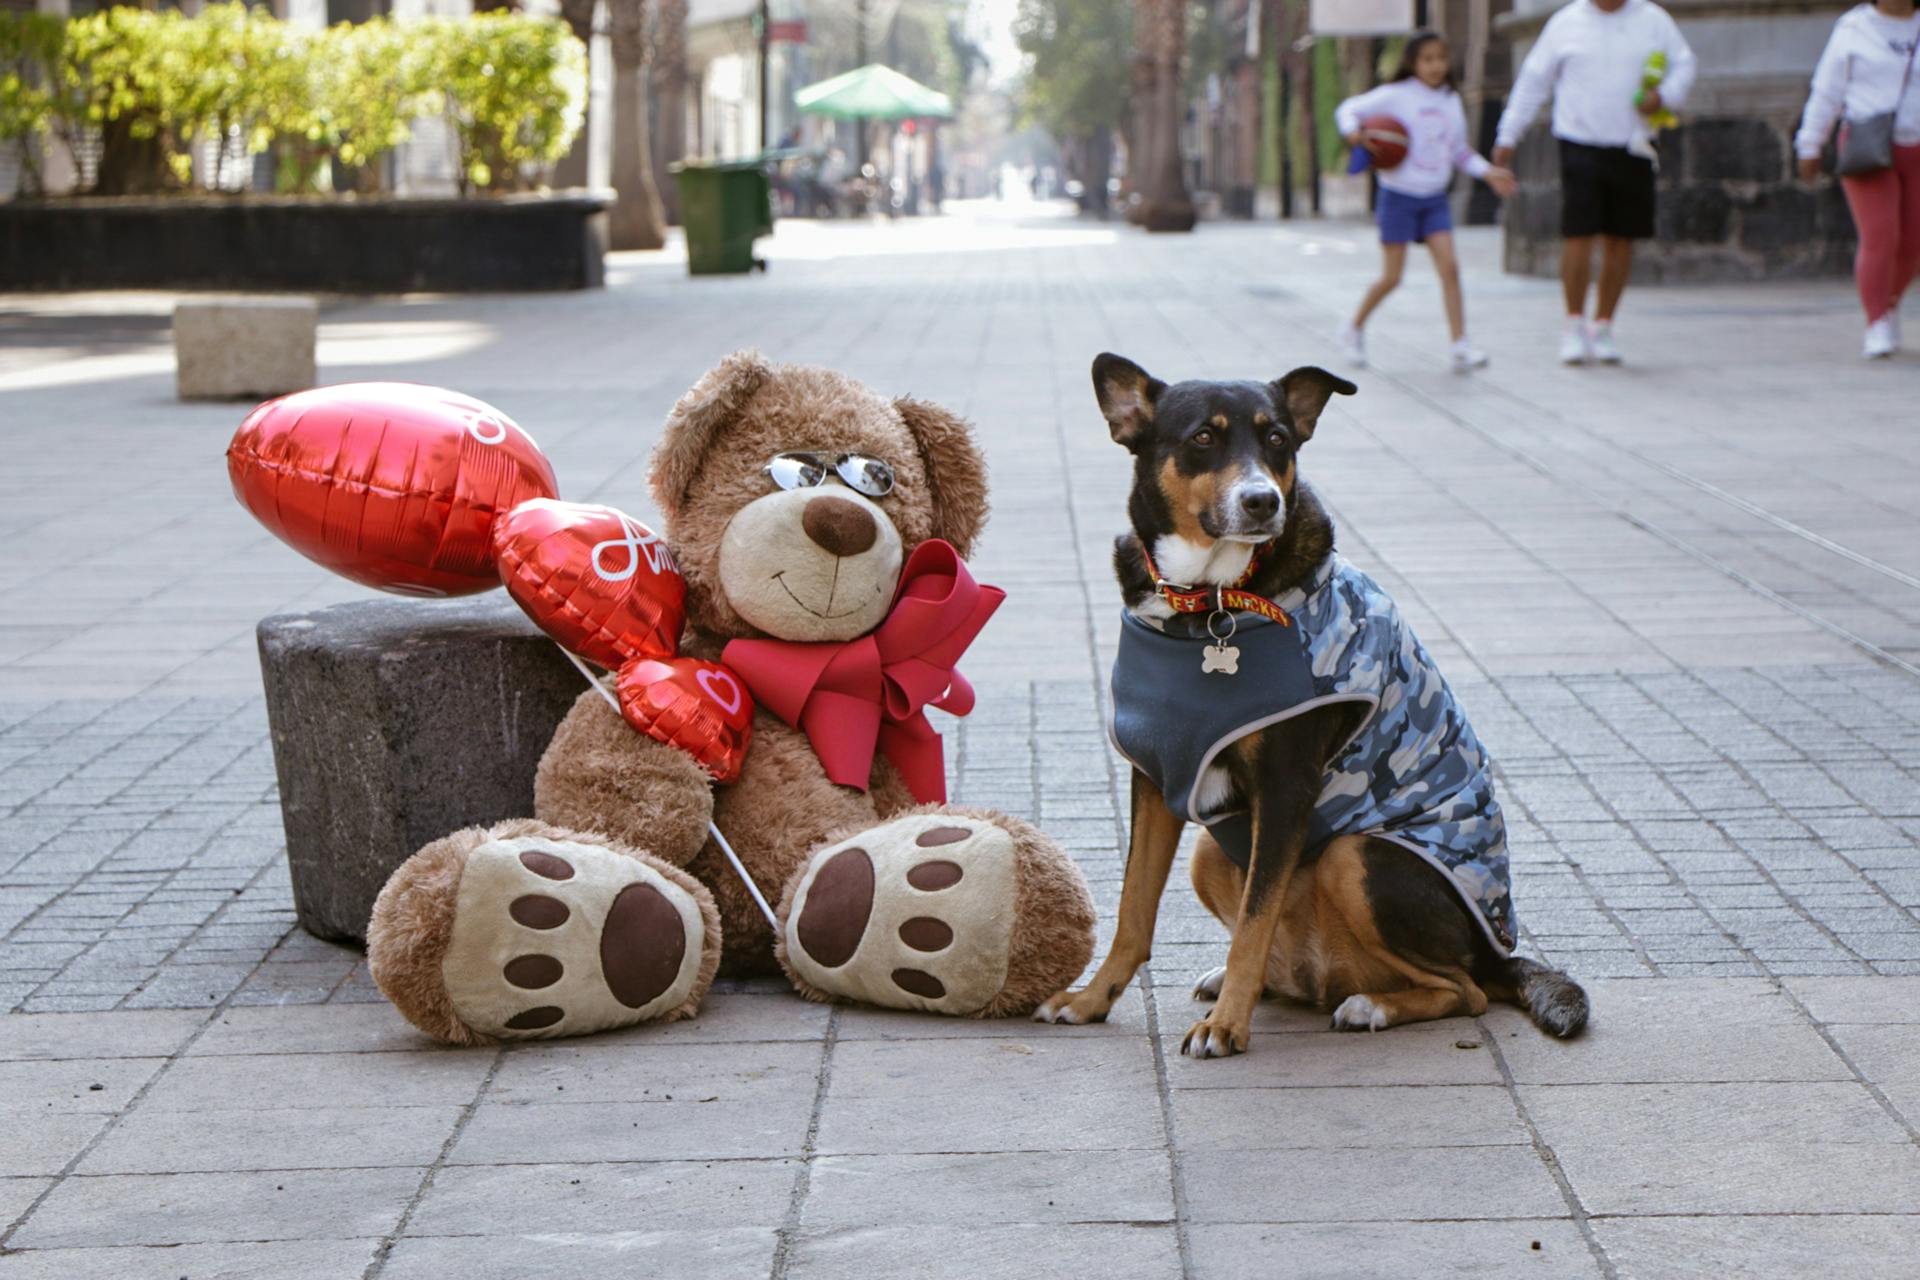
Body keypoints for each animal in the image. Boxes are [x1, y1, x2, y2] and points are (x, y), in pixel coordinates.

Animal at [1036, 353, 1589, 1059]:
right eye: (1203, 437)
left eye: (1277, 438)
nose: (1262, 500)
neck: (1208, 604)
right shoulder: (1157, 777)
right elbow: (1134, 910)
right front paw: (1091, 1000)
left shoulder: (1285, 785)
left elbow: (1252, 924)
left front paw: (1226, 1028)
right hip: (1212, 852)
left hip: (1356, 857)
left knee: (1464, 990)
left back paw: (1369, 1005)